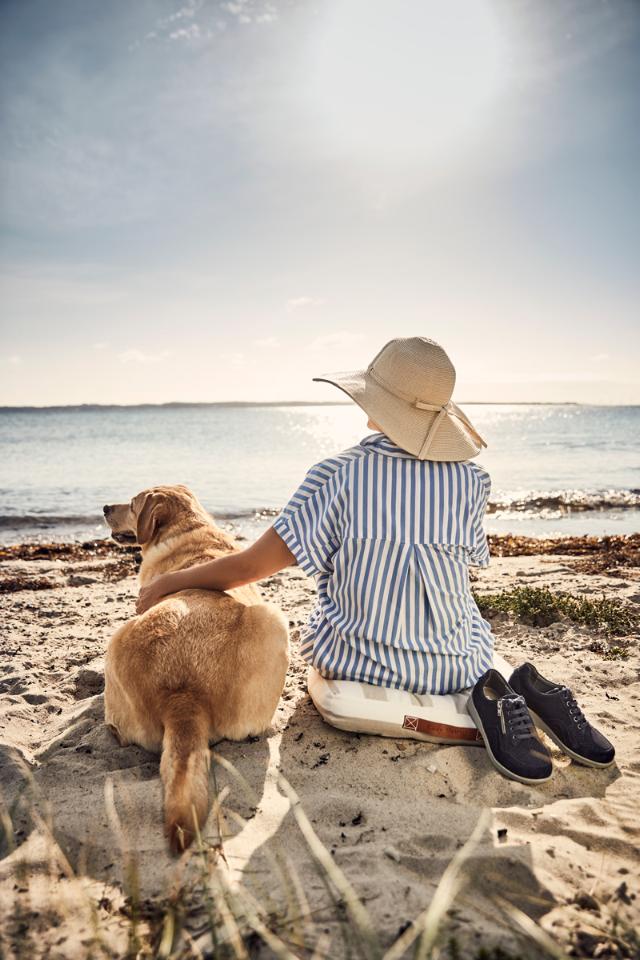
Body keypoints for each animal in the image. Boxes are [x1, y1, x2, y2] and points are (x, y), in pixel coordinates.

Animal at [102, 484, 290, 852]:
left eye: (131, 504)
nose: (104, 507)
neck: (188, 528)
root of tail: (184, 694)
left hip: (114, 641)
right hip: (274, 618)